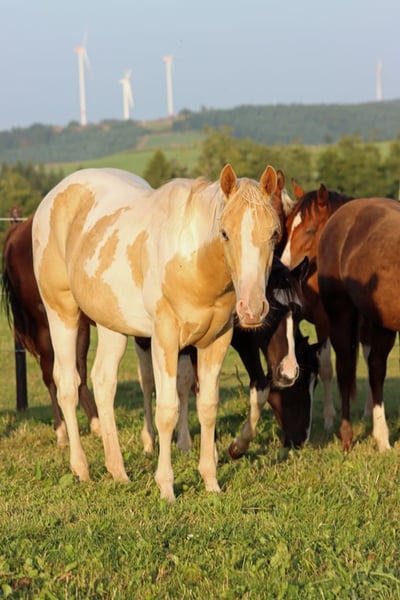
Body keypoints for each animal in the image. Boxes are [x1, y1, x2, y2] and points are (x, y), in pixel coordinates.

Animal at [1, 216, 100, 445]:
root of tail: (16, 232)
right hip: (45, 327)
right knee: (51, 376)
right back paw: (62, 432)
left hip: (77, 325)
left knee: (77, 371)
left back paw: (96, 424)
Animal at [32, 165, 280, 502]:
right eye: (225, 233)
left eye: (274, 233)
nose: (253, 309)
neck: (192, 261)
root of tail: (55, 195)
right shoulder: (165, 338)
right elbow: (167, 411)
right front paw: (166, 487)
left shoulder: (216, 341)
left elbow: (208, 408)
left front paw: (211, 482)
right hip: (62, 312)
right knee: (68, 384)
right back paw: (81, 469)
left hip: (112, 324)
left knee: (104, 382)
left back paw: (118, 471)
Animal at [279, 181, 354, 428]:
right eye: (287, 226)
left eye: (311, 230)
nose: (283, 266)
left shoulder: (325, 323)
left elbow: (326, 367)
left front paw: (330, 417)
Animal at [318, 197, 400, 451]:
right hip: (340, 315)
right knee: (345, 369)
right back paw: (347, 437)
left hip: (382, 322)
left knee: (376, 367)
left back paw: (382, 439)